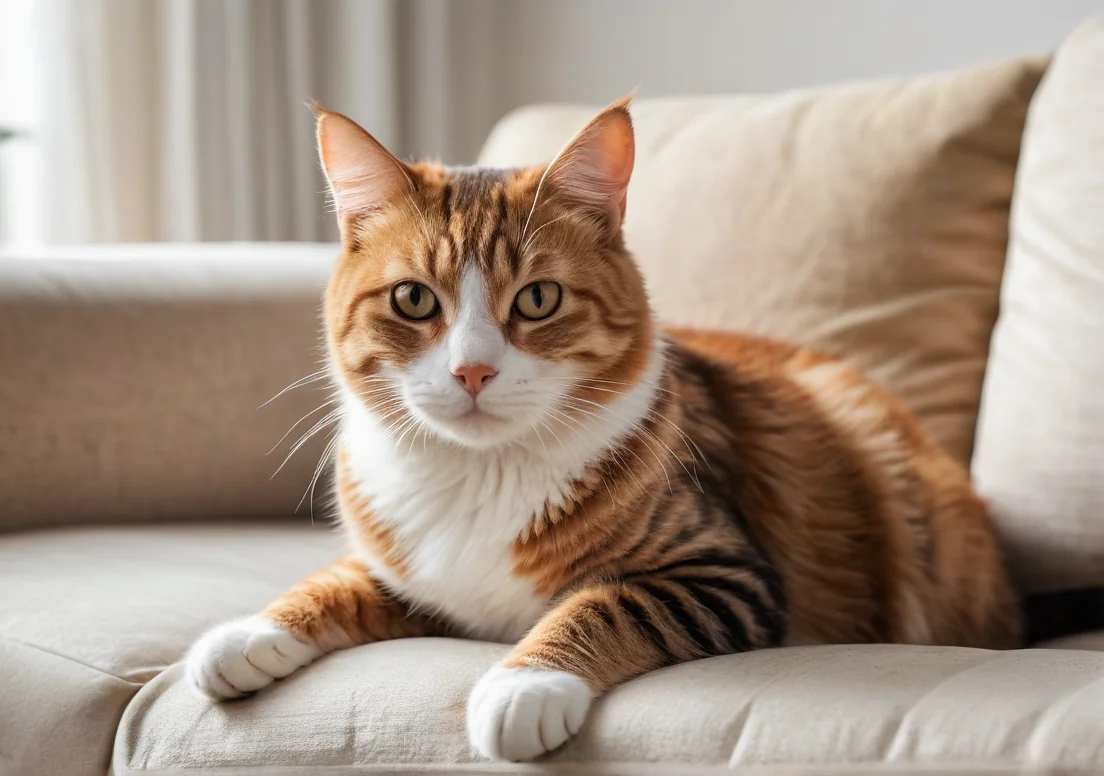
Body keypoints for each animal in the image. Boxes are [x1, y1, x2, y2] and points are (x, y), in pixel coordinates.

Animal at [185, 97, 1020, 763]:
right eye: (414, 300)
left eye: (539, 298)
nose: (472, 372)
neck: (482, 478)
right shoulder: (411, 576)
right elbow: (335, 581)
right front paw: (249, 635)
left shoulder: (723, 572)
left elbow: (602, 606)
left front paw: (523, 686)